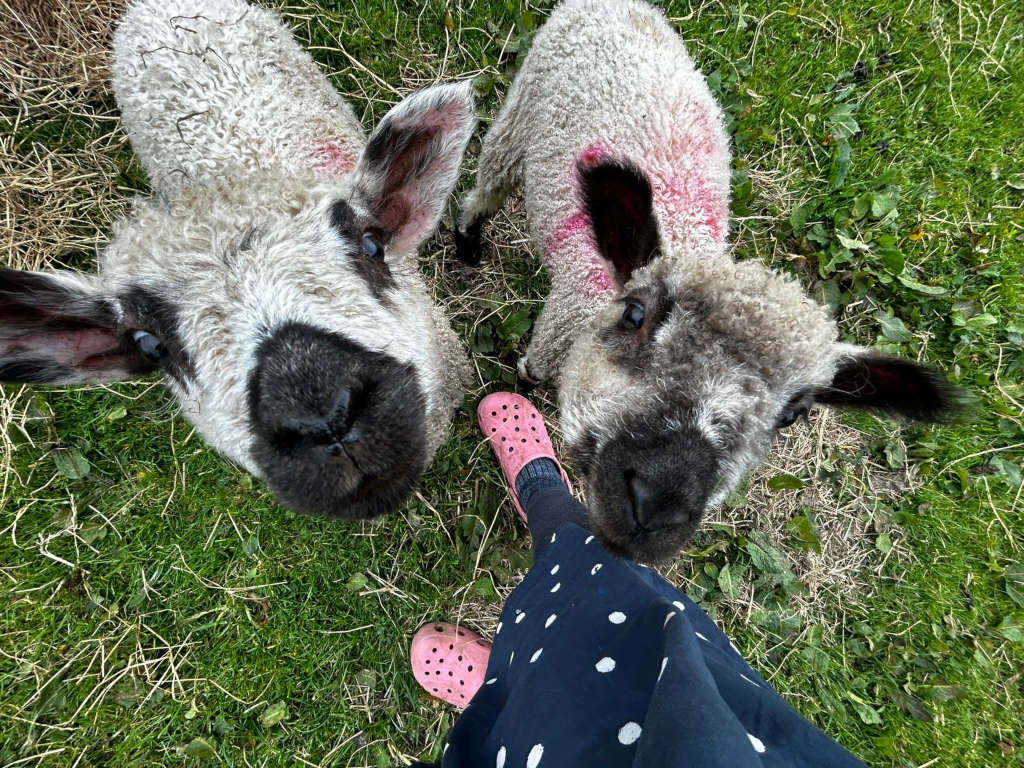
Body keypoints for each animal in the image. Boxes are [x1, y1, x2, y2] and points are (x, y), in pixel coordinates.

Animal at [456, 0, 959, 563]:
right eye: (635, 314)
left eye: (793, 414)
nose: (656, 504)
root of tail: (619, 6)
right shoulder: (562, 317)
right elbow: (536, 368)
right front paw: (522, 381)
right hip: (521, 110)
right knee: (487, 185)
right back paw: (468, 241)